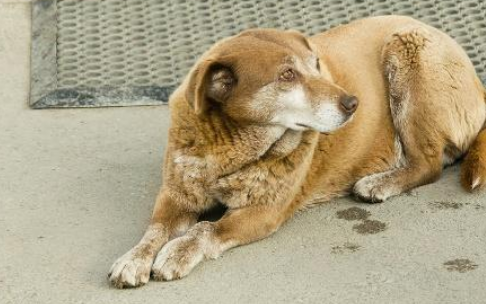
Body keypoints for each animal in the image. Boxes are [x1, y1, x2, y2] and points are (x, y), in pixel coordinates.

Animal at [107, 16, 486, 288]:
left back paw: (380, 183)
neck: (230, 146)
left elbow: (204, 230)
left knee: (429, 164)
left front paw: (177, 251)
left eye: (315, 64)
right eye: (287, 75)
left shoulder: (264, 211)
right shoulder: (177, 194)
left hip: (409, 53)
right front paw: (134, 258)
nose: (353, 103)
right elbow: (155, 229)